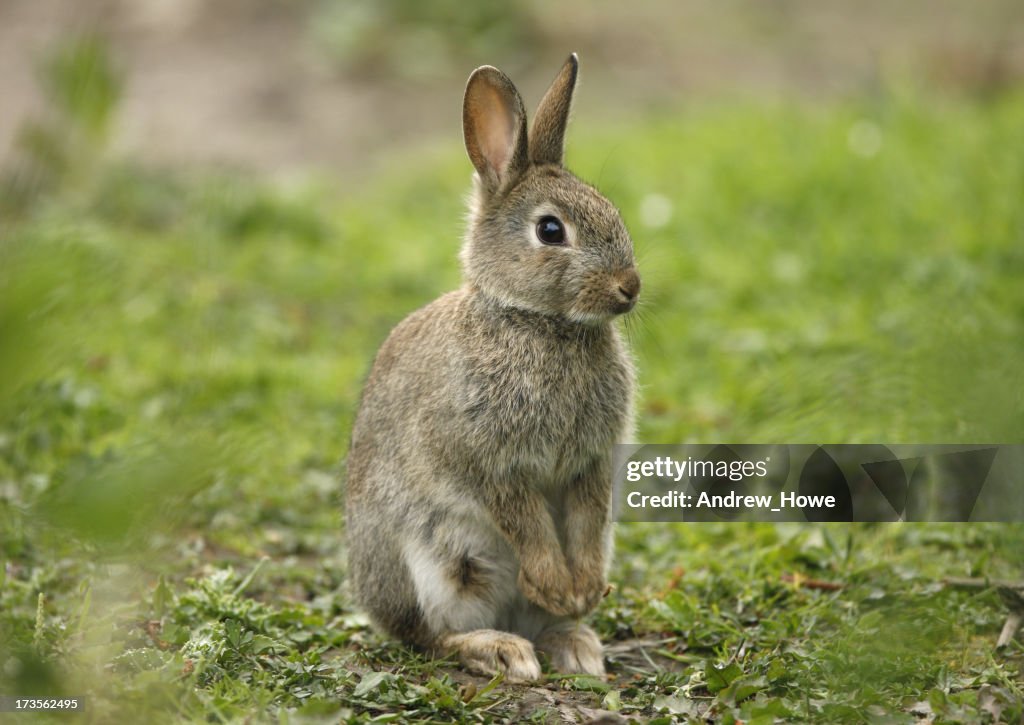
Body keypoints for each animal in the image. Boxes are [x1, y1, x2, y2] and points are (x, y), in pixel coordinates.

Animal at [346, 53, 638, 684]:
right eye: (551, 230)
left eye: (613, 213)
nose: (630, 288)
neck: (539, 323)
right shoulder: (492, 463)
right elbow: (524, 521)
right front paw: (558, 584)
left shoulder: (591, 462)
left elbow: (586, 517)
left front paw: (582, 591)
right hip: (436, 567)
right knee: (430, 638)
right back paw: (501, 650)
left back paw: (575, 641)